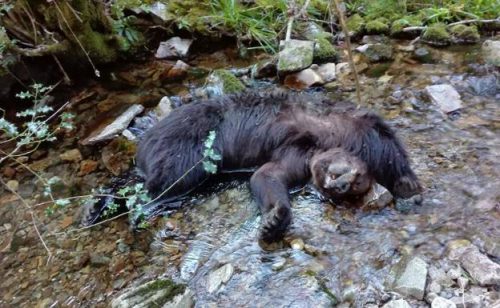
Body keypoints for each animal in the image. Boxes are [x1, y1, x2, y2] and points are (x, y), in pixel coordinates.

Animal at [136, 90, 422, 242]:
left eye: (356, 185)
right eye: (356, 177)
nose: (339, 185)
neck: (324, 142)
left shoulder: (297, 156)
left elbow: (267, 175)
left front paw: (274, 219)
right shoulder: (348, 127)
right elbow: (387, 145)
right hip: (190, 140)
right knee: (173, 173)